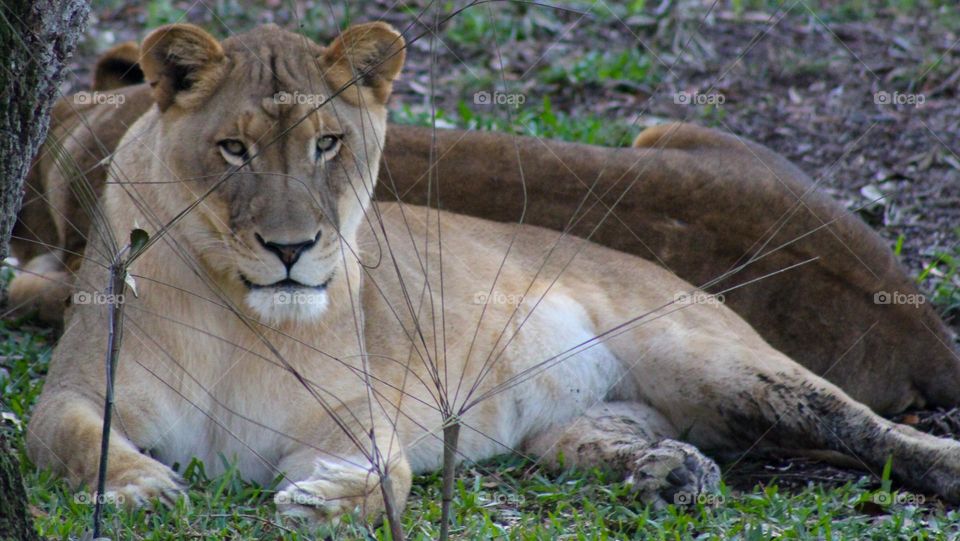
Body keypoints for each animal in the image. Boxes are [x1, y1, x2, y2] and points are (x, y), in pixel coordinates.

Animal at [18, 22, 960, 523]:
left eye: (329, 144)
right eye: (233, 149)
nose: (292, 248)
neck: (238, 312)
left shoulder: (357, 412)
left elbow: (391, 474)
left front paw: (323, 499)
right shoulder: (73, 391)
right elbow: (76, 439)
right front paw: (142, 486)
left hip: (718, 358)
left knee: (867, 429)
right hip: (591, 419)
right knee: (657, 441)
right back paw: (672, 472)